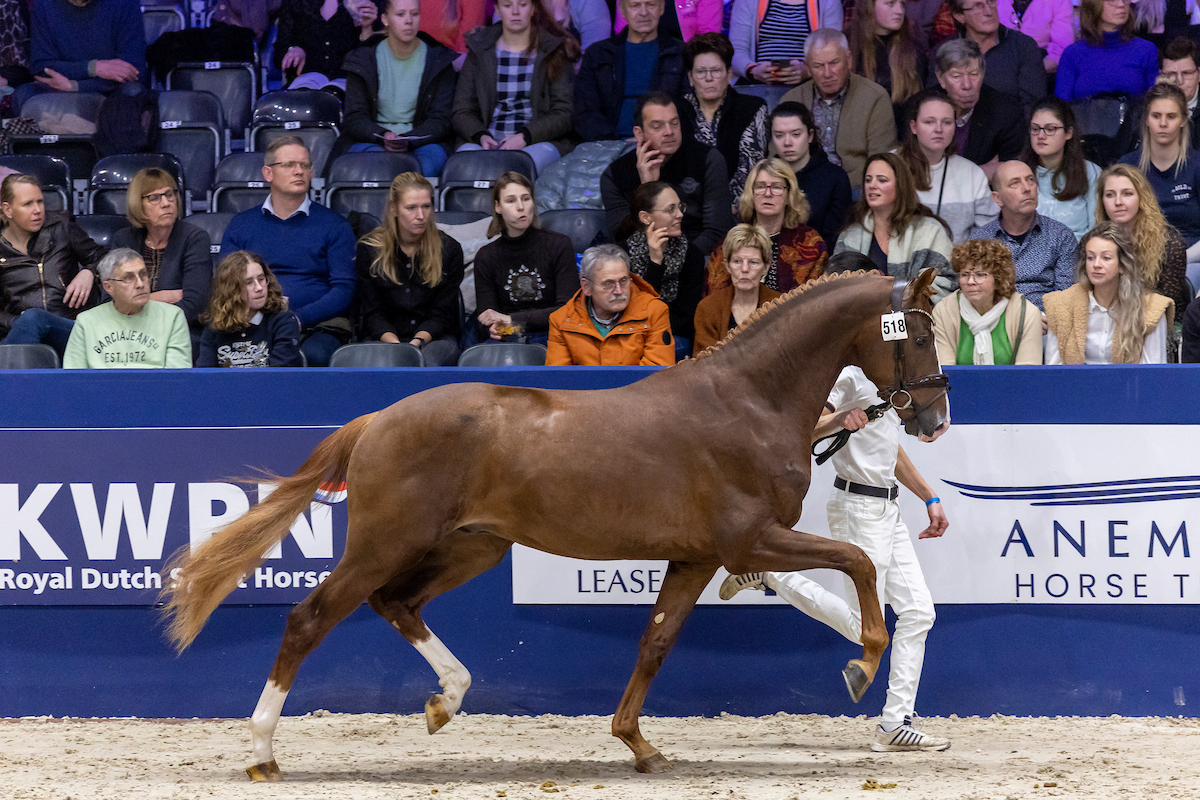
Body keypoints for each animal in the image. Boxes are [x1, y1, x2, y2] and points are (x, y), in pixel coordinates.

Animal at [162, 268, 950, 781]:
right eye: (916, 334)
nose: (935, 417)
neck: (749, 402)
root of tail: (377, 417)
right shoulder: (747, 540)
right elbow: (859, 562)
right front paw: (861, 665)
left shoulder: (697, 557)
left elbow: (655, 641)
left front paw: (639, 746)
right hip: (386, 545)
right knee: (311, 618)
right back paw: (263, 751)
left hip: (471, 548)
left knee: (397, 604)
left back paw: (446, 702)